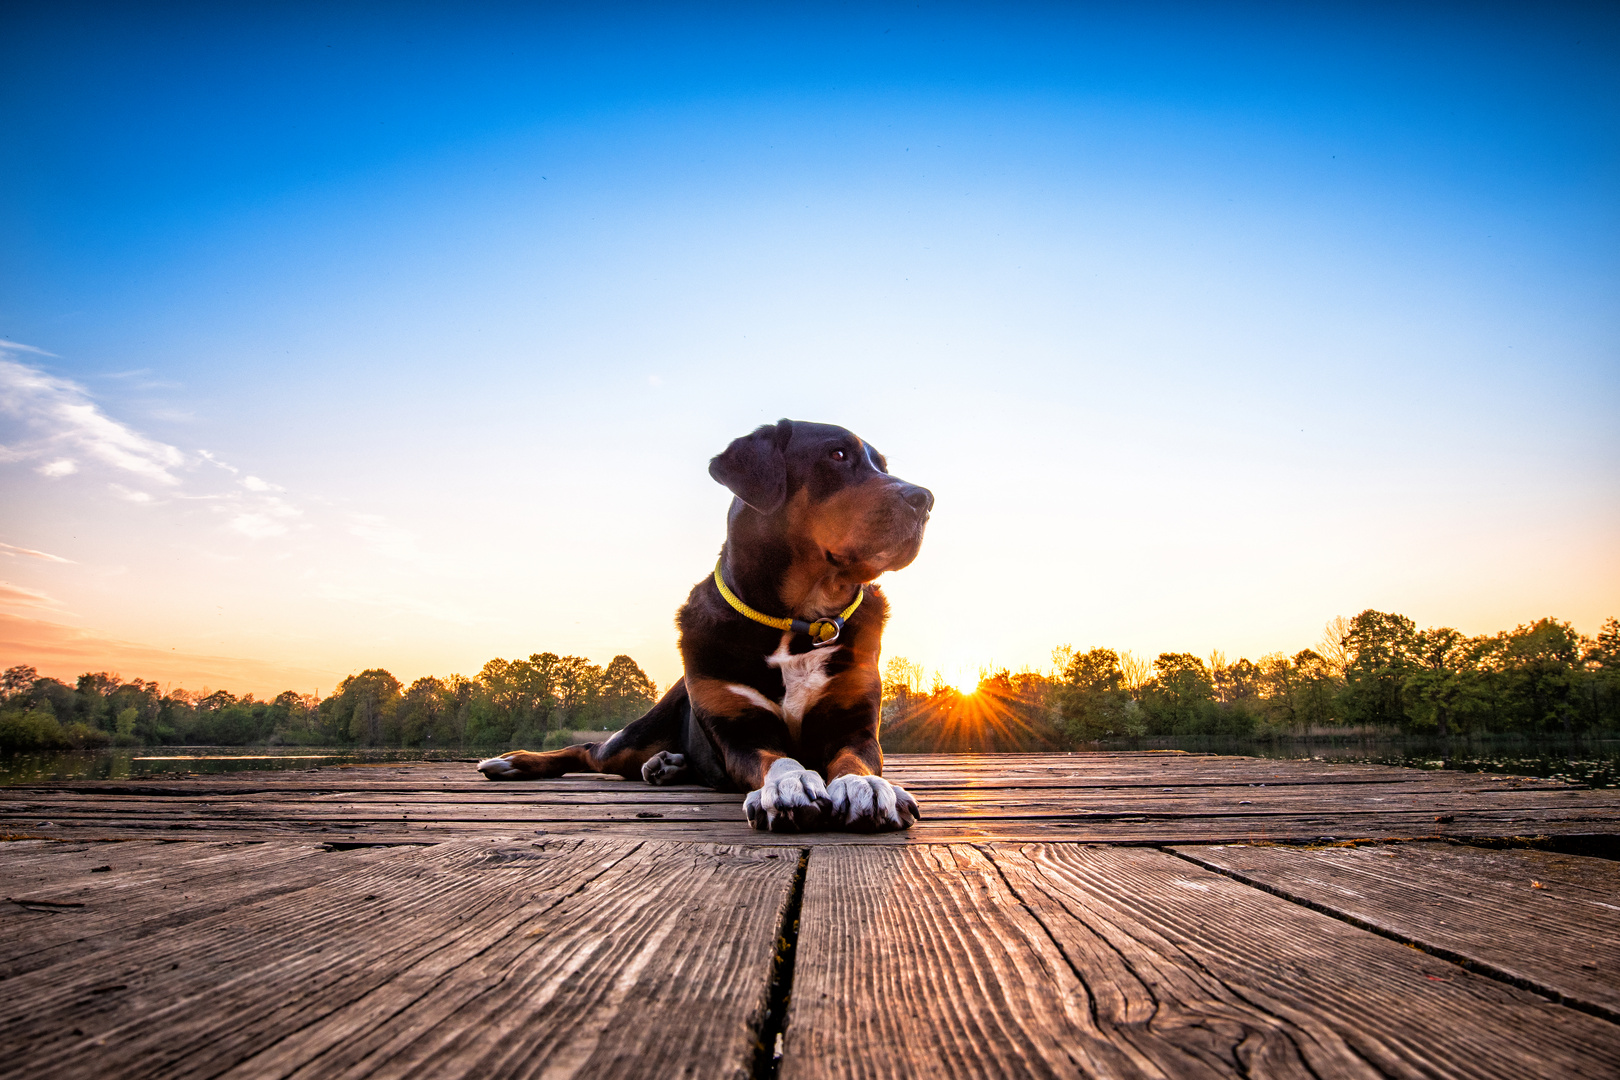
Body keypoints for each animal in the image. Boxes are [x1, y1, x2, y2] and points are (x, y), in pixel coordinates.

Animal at [473, 417, 933, 835]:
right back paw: (513, 761)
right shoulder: (739, 730)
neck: (800, 622)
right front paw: (789, 784)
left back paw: (668, 765)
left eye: (882, 465)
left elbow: (854, 759)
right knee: (588, 749)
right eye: (837, 455)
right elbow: (777, 759)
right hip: (637, 735)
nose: (925, 498)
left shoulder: (853, 723)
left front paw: (863, 786)